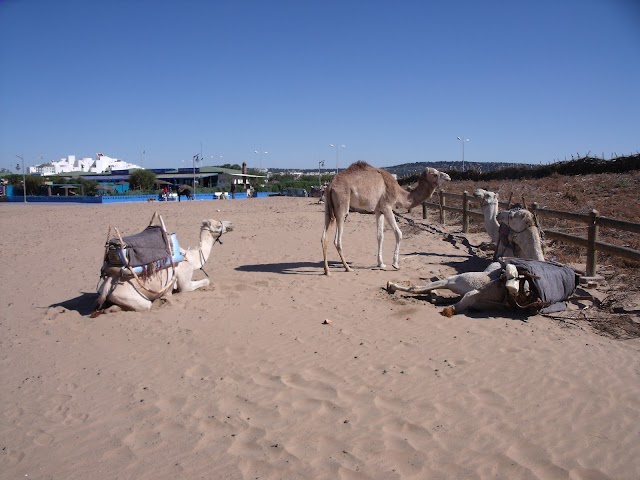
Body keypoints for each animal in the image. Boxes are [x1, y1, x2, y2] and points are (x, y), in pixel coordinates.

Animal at [94, 219, 234, 314]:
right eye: (218, 225)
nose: (231, 224)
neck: (191, 259)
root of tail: (106, 286)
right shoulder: (185, 282)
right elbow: (205, 281)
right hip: (129, 296)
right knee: (144, 305)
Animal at [320, 160, 450, 274]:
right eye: (435, 174)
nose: (448, 176)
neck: (399, 193)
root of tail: (330, 186)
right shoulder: (387, 206)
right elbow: (398, 233)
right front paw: (395, 264)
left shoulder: (379, 210)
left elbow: (380, 236)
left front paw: (381, 263)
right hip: (342, 206)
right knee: (337, 240)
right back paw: (347, 267)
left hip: (328, 209)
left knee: (324, 237)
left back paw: (327, 270)